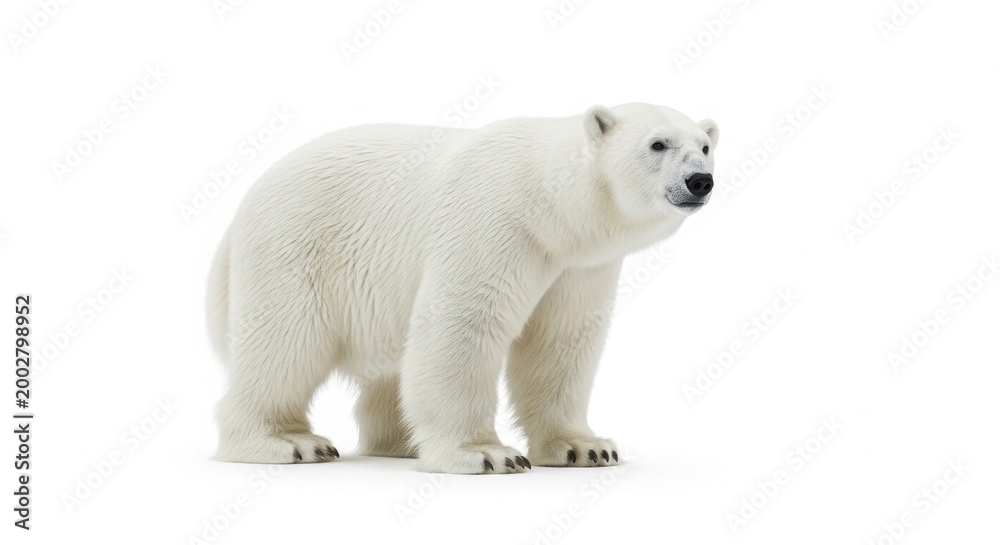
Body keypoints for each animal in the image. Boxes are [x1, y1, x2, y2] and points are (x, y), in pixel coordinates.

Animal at [206, 103, 719, 473]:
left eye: (706, 145)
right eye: (658, 143)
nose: (700, 180)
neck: (549, 203)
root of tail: (236, 216)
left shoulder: (578, 265)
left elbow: (560, 341)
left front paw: (587, 447)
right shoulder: (494, 223)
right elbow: (462, 326)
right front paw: (487, 454)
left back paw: (401, 442)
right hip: (297, 245)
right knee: (287, 342)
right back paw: (289, 442)